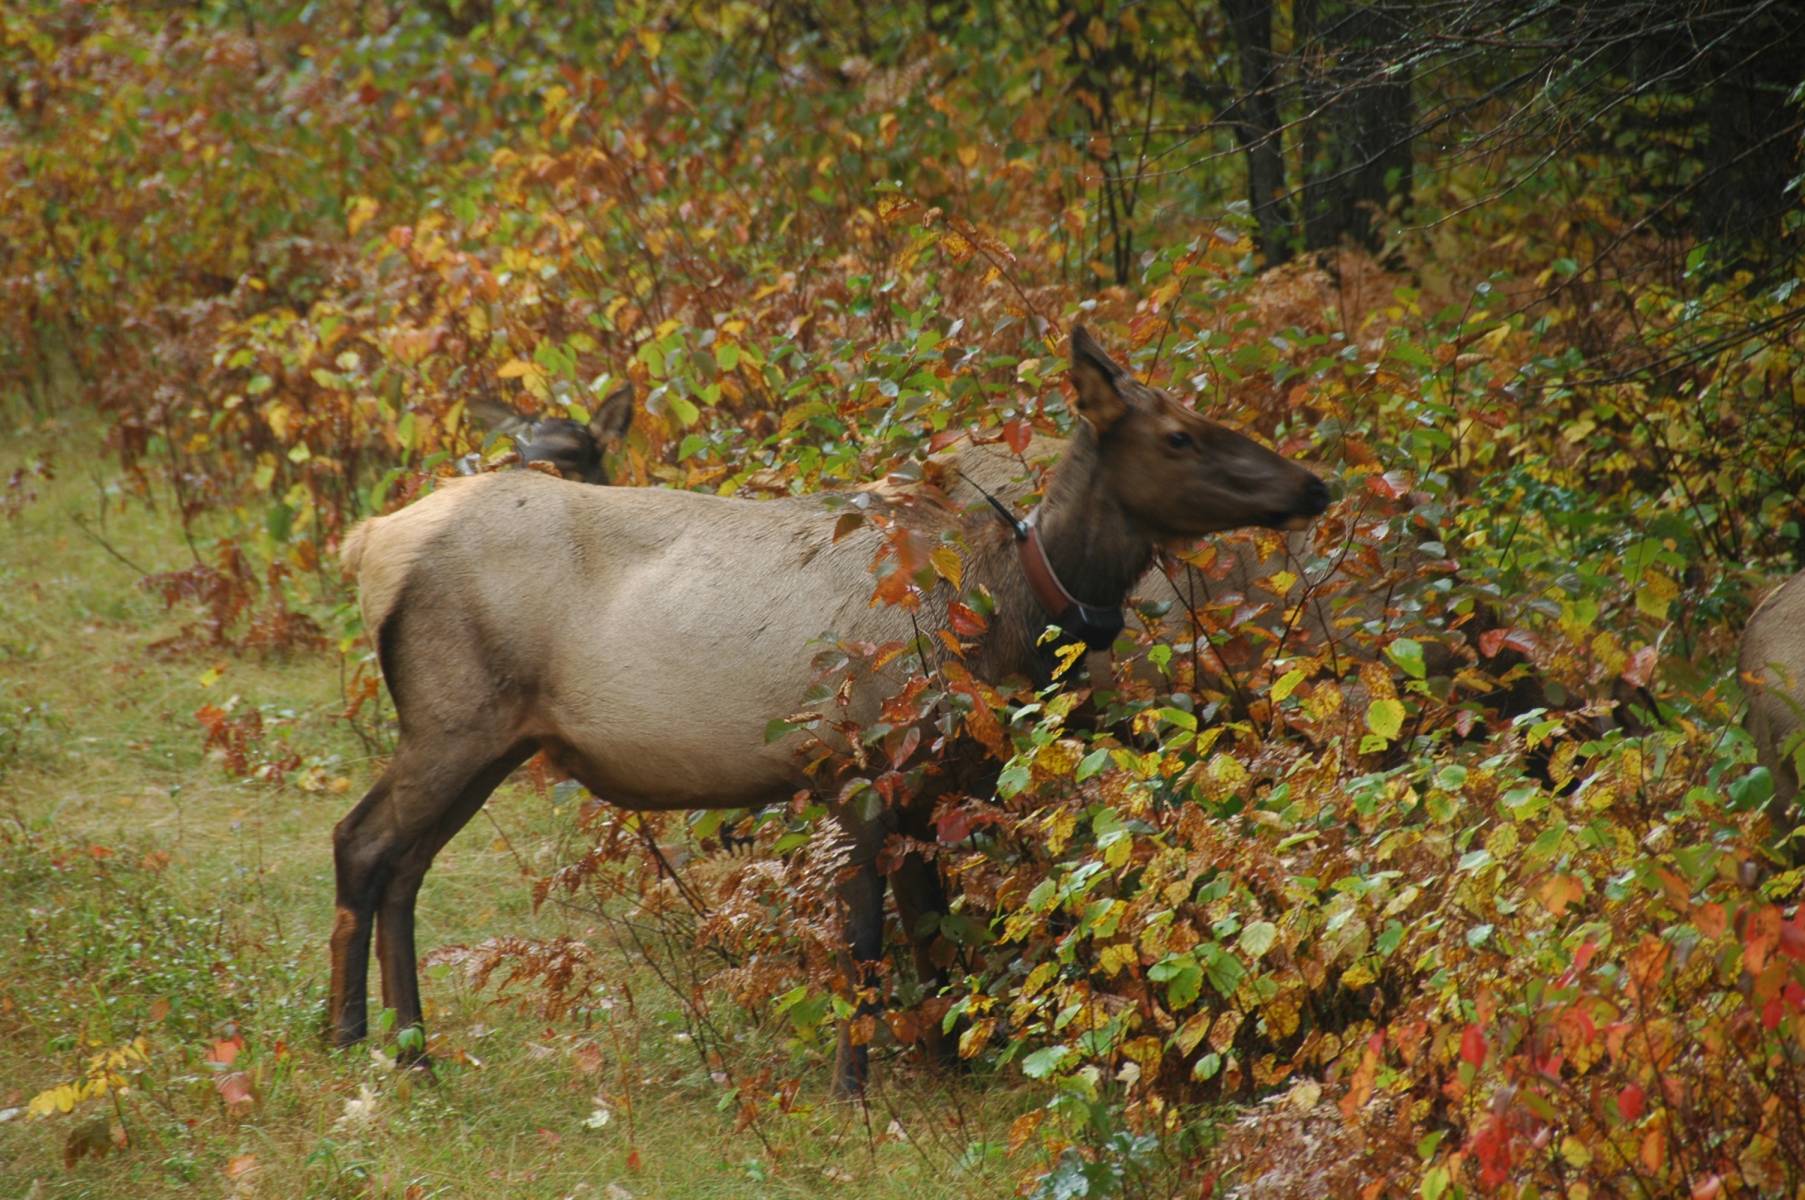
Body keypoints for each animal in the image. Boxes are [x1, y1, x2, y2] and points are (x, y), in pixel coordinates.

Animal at [327, 327, 1329, 1095]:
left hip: (490, 738)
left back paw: (404, 1048)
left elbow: (930, 925)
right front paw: (854, 1085)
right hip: (454, 717)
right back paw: (352, 1039)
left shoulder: (934, 778)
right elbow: (862, 935)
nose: (1311, 484)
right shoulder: (860, 759)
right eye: (1179, 435)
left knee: (406, 865)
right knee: (362, 842)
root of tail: (367, 544)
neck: (1007, 615)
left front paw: (950, 1067)